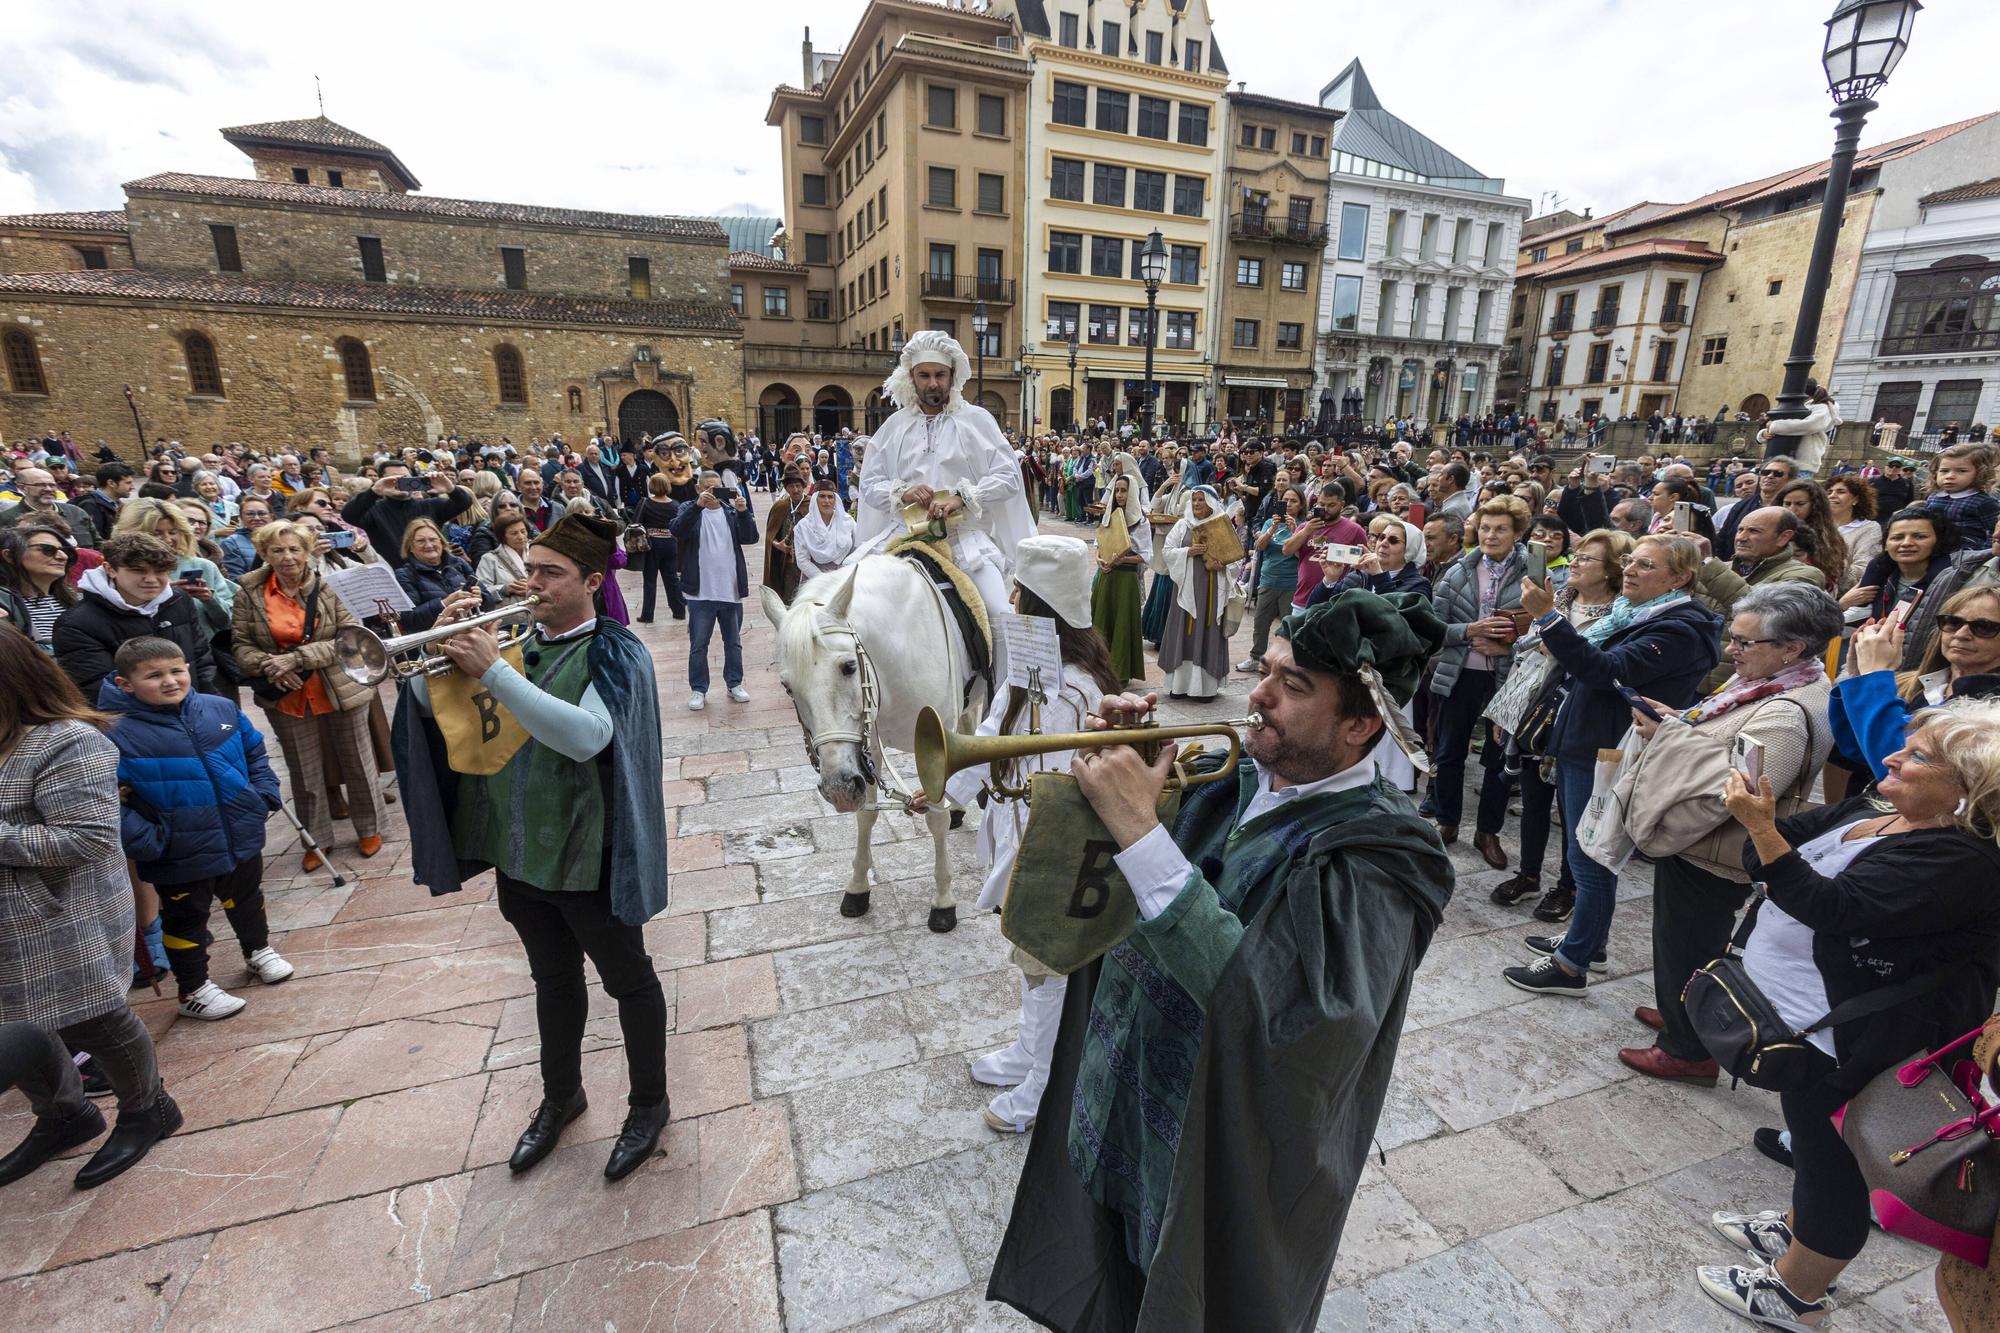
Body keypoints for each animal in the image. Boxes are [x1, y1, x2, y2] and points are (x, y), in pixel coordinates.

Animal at [756, 556, 984, 928]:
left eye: (849, 666)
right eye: (787, 687)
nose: (837, 789)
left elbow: (935, 819)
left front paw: (943, 900)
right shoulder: (866, 748)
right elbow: (866, 815)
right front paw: (858, 887)